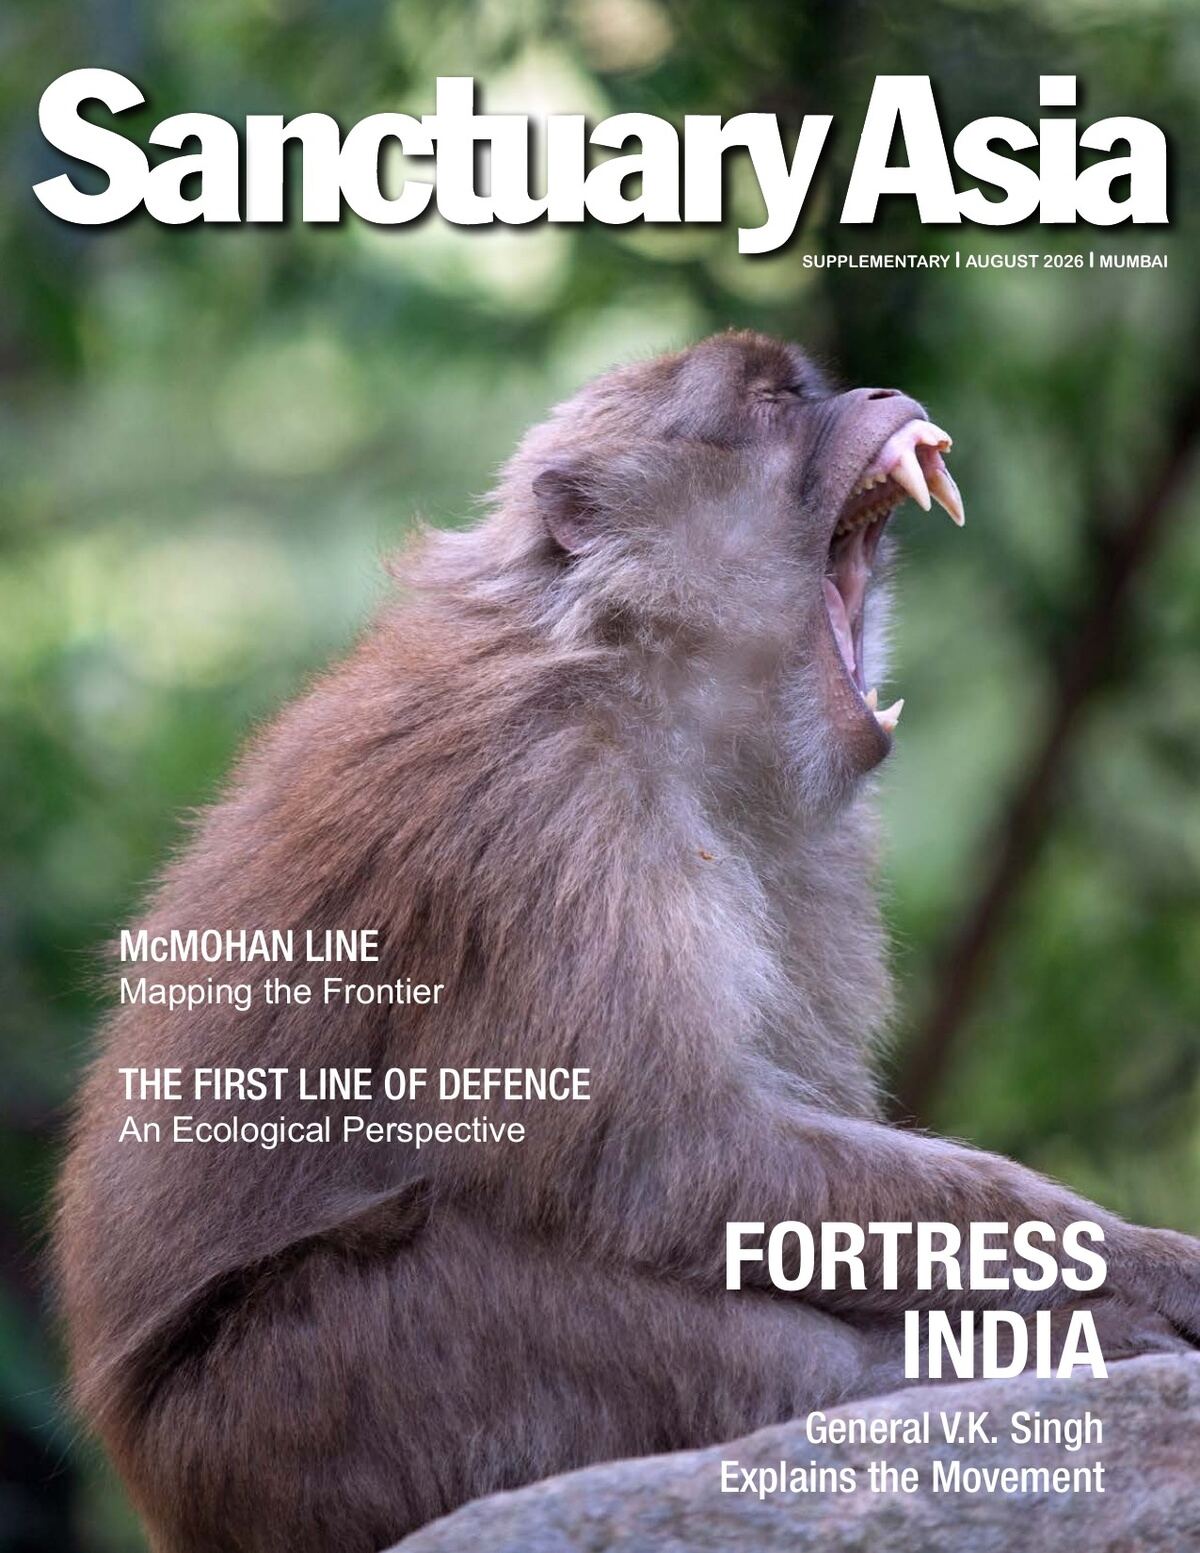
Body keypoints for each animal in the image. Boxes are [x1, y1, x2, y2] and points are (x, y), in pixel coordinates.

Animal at [55, 331, 1199, 1553]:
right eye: (772, 402)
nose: (880, 391)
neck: (631, 664)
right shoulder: (543, 807)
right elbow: (671, 1157)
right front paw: (1135, 1271)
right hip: (302, 1405)